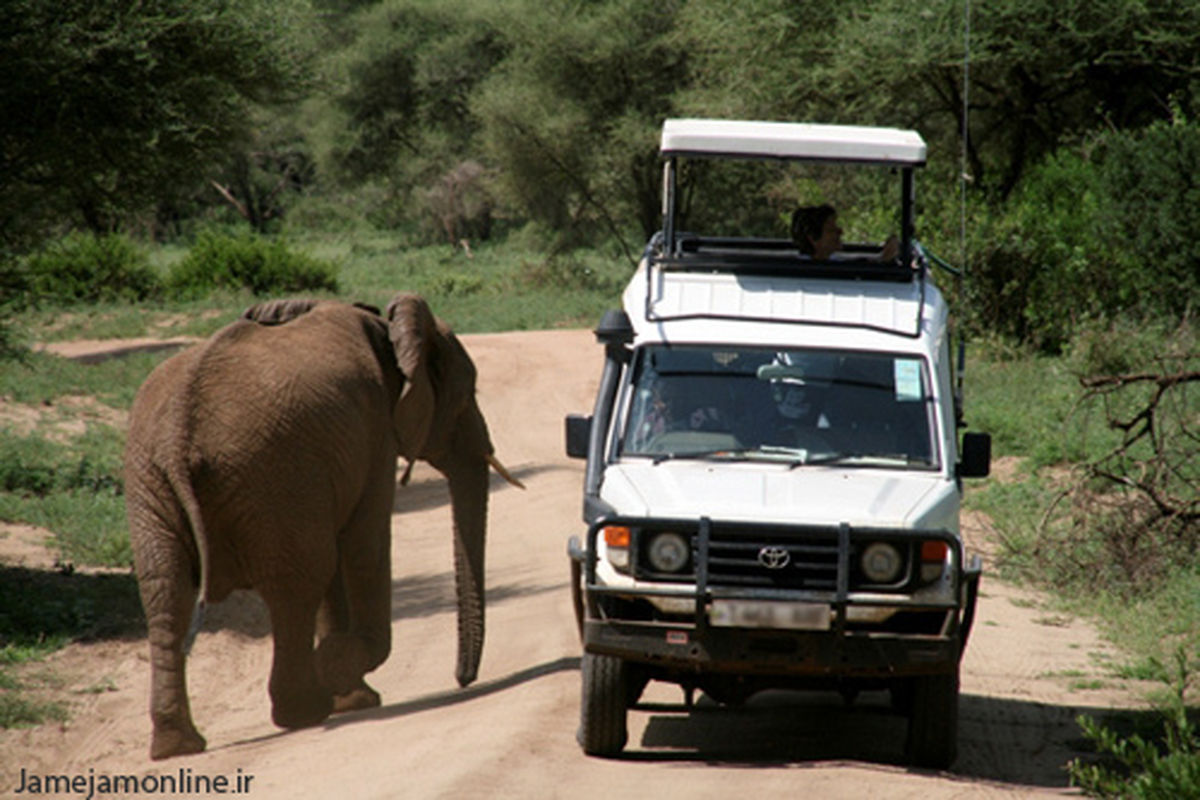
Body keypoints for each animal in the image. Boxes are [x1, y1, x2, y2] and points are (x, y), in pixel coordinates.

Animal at [124, 292, 523, 758]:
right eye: (468, 394)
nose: (463, 680)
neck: (387, 329)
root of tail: (178, 436)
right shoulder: (376, 430)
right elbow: (364, 546)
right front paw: (339, 671)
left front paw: (352, 695)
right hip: (272, 470)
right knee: (296, 583)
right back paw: (304, 709)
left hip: (150, 481)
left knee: (165, 591)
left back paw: (178, 744)